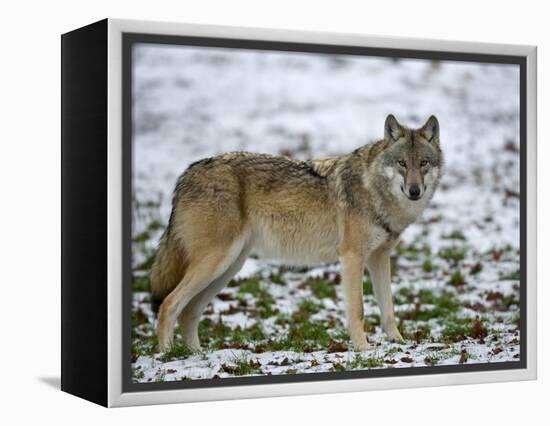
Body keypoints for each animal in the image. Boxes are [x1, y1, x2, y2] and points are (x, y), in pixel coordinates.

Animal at [150, 115, 444, 352]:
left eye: (424, 163)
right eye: (402, 163)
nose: (414, 191)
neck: (374, 190)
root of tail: (187, 174)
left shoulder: (379, 259)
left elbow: (389, 310)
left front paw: (399, 343)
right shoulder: (352, 258)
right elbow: (358, 310)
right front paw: (363, 349)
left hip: (228, 268)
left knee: (189, 312)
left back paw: (196, 356)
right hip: (216, 263)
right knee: (168, 305)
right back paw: (168, 356)